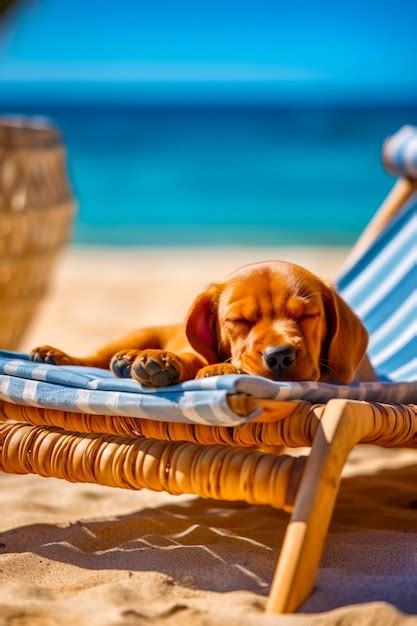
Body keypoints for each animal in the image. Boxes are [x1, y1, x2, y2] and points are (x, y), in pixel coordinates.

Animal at [29, 260, 374, 386]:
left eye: (306, 316)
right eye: (238, 320)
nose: (280, 356)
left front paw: (222, 368)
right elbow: (193, 358)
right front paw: (163, 362)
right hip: (136, 333)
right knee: (94, 358)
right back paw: (60, 356)